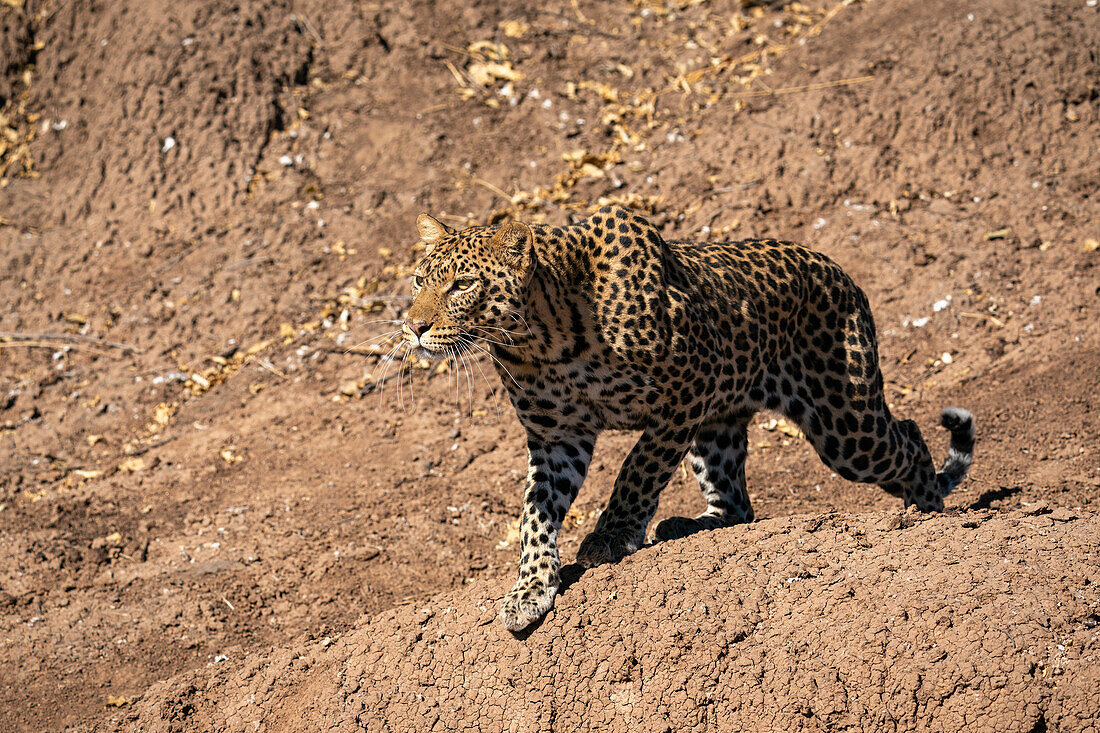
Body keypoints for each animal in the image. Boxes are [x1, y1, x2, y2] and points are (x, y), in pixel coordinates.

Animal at [400, 203, 976, 629]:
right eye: (418, 281)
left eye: (462, 285)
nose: (413, 327)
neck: (540, 342)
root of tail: (842, 273)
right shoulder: (557, 438)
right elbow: (535, 514)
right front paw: (531, 587)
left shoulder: (687, 391)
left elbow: (637, 470)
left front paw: (610, 536)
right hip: (721, 426)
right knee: (738, 502)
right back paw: (691, 526)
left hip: (844, 422)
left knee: (909, 438)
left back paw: (927, 512)